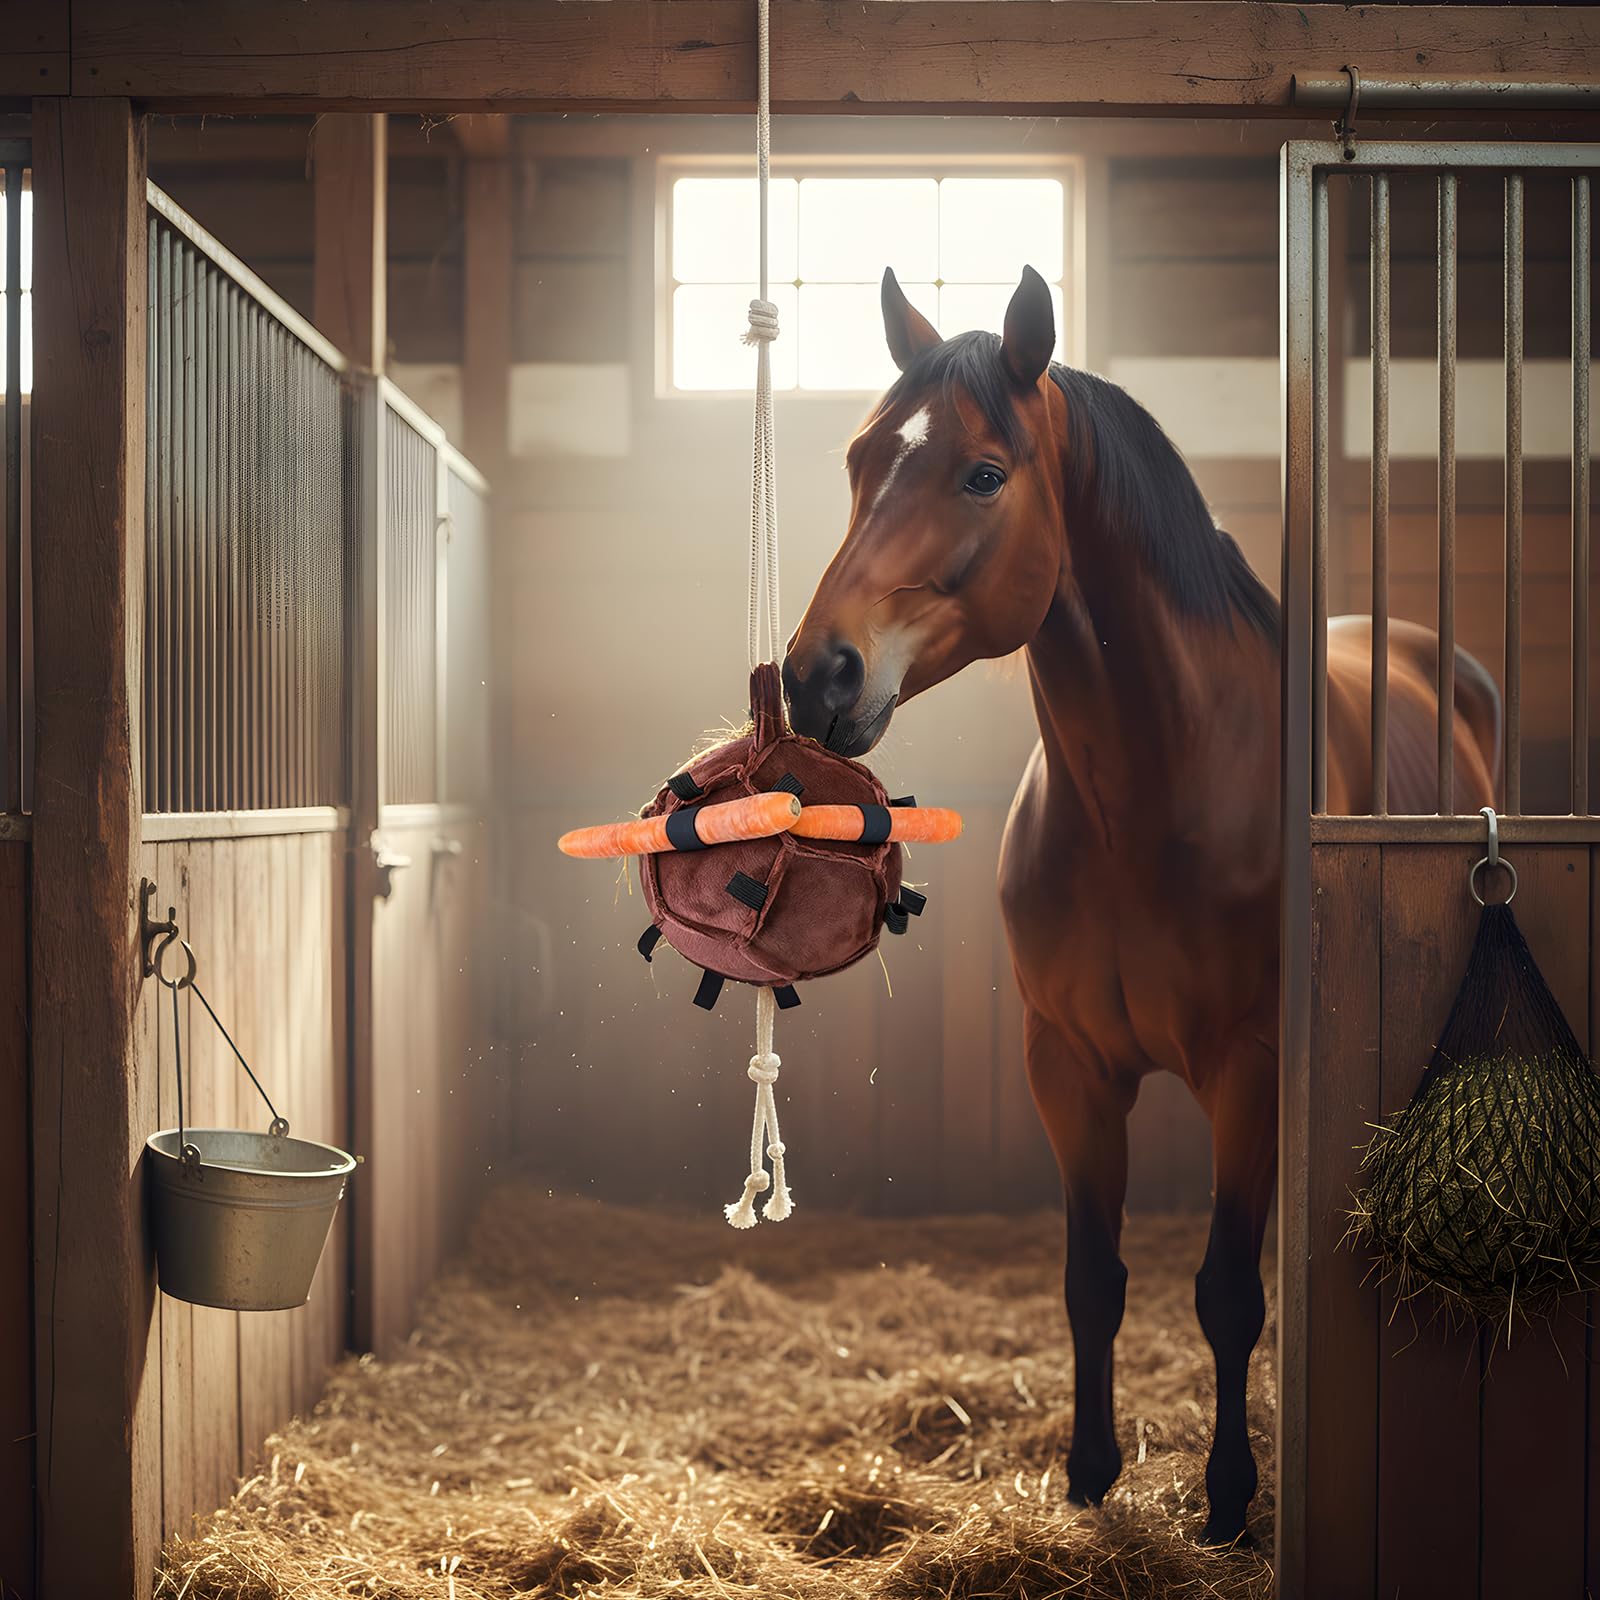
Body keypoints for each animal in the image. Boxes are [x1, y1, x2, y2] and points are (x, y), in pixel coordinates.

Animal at [781, 266, 1501, 1547]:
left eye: (982, 471)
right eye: (862, 457)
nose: (816, 677)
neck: (1156, 792)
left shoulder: (1251, 1070)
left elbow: (1226, 1292)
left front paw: (1227, 1499)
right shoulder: (1066, 1066)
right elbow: (1093, 1281)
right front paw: (1086, 1474)